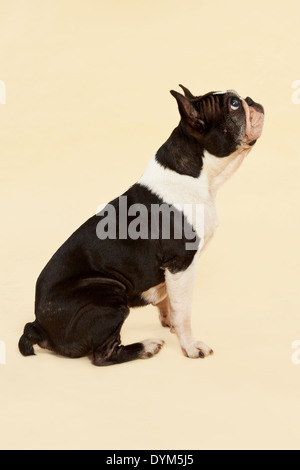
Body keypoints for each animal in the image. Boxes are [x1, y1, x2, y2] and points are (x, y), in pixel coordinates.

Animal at [18, 87, 264, 368]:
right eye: (233, 104)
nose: (251, 100)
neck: (198, 178)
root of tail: (39, 326)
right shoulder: (181, 264)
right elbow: (184, 311)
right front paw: (189, 346)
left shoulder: (171, 272)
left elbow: (169, 301)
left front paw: (169, 322)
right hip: (110, 297)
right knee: (102, 355)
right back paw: (146, 347)